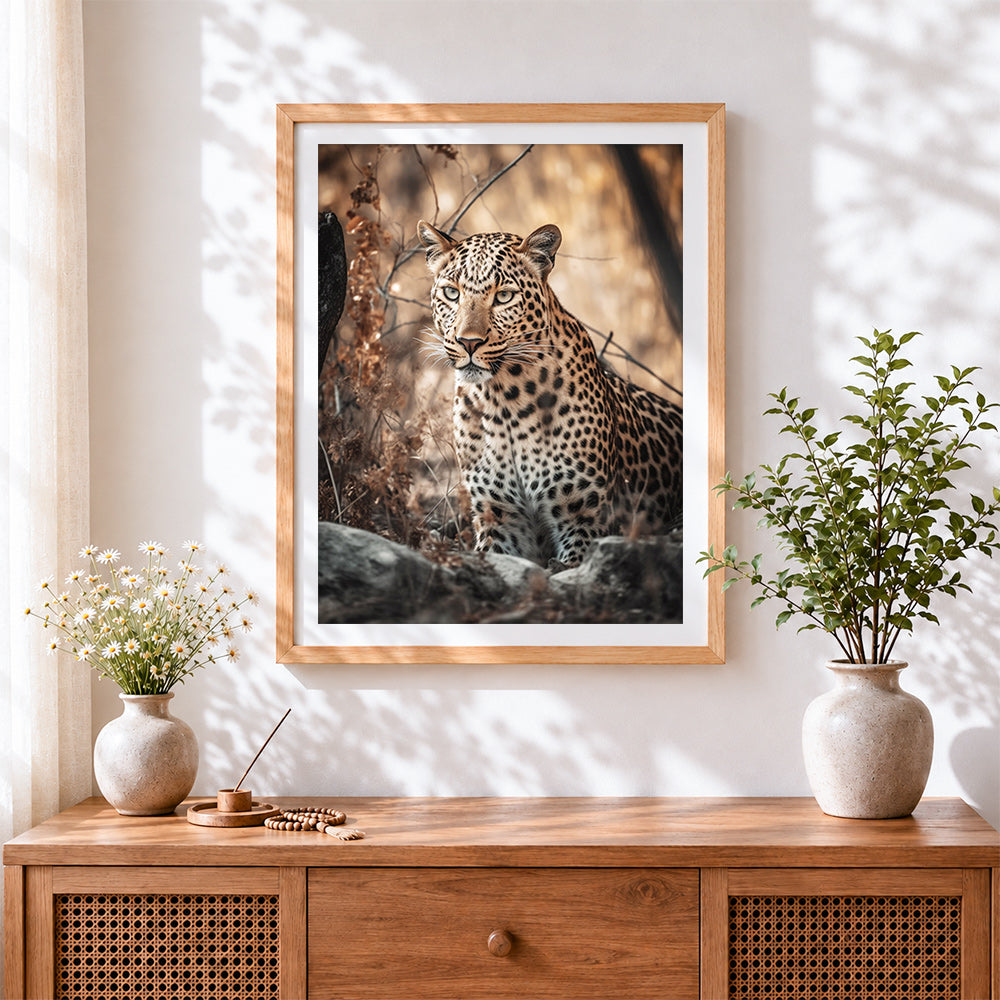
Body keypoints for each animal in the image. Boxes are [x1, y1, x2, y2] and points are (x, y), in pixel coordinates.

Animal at [418, 220, 683, 568]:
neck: (502, 400)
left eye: (504, 296)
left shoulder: (584, 519)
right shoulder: (499, 519)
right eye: (451, 292)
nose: (468, 342)